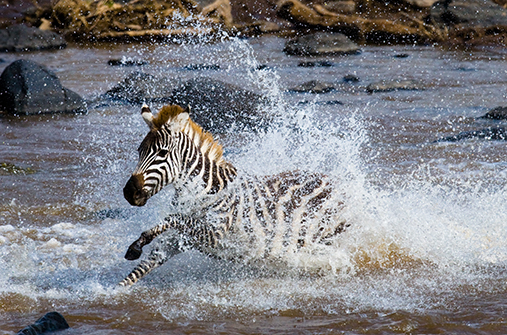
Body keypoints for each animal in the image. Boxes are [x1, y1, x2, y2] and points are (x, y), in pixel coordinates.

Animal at [119, 104, 350, 286]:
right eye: (139, 151)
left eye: (162, 153)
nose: (129, 193)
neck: (204, 191)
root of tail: (338, 183)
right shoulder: (179, 240)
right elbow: (138, 271)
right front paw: (115, 292)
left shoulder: (215, 233)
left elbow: (176, 218)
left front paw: (140, 241)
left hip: (325, 236)